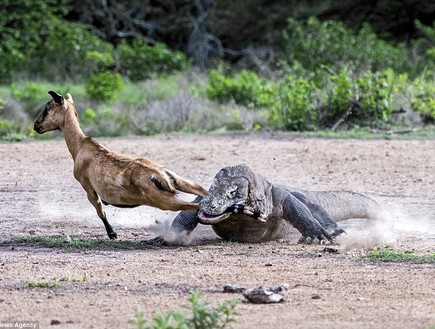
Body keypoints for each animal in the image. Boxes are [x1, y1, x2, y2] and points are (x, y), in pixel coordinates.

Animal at [34, 89, 208, 238]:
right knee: (202, 191)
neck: (81, 146)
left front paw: (112, 234)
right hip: (178, 182)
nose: (36, 125)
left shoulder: (88, 187)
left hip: (164, 201)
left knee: (199, 206)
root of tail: (159, 175)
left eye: (48, 107)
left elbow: (100, 210)